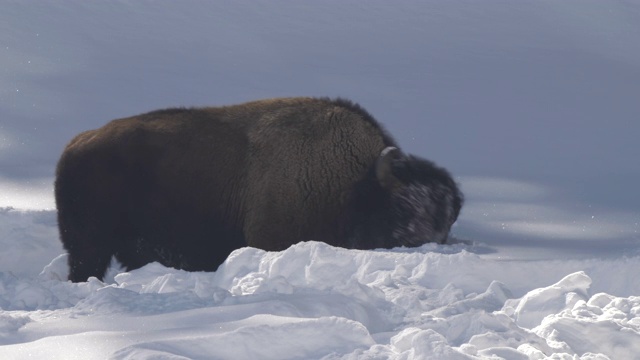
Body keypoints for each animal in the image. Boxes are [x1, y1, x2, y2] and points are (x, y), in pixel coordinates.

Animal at [56, 97, 460, 282]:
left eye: (447, 220)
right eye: (403, 207)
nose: (426, 245)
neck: (356, 185)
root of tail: (76, 145)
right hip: (88, 246)